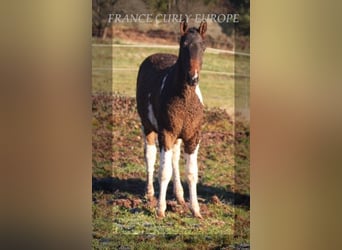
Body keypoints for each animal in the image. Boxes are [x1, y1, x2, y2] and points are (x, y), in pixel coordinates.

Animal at [136, 19, 206, 219]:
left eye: (203, 47)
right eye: (184, 46)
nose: (193, 78)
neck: (183, 98)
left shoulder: (193, 137)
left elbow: (191, 173)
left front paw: (196, 210)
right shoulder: (166, 134)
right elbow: (163, 172)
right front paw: (160, 210)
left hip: (177, 137)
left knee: (174, 159)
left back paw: (180, 196)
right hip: (148, 127)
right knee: (150, 156)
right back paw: (150, 193)